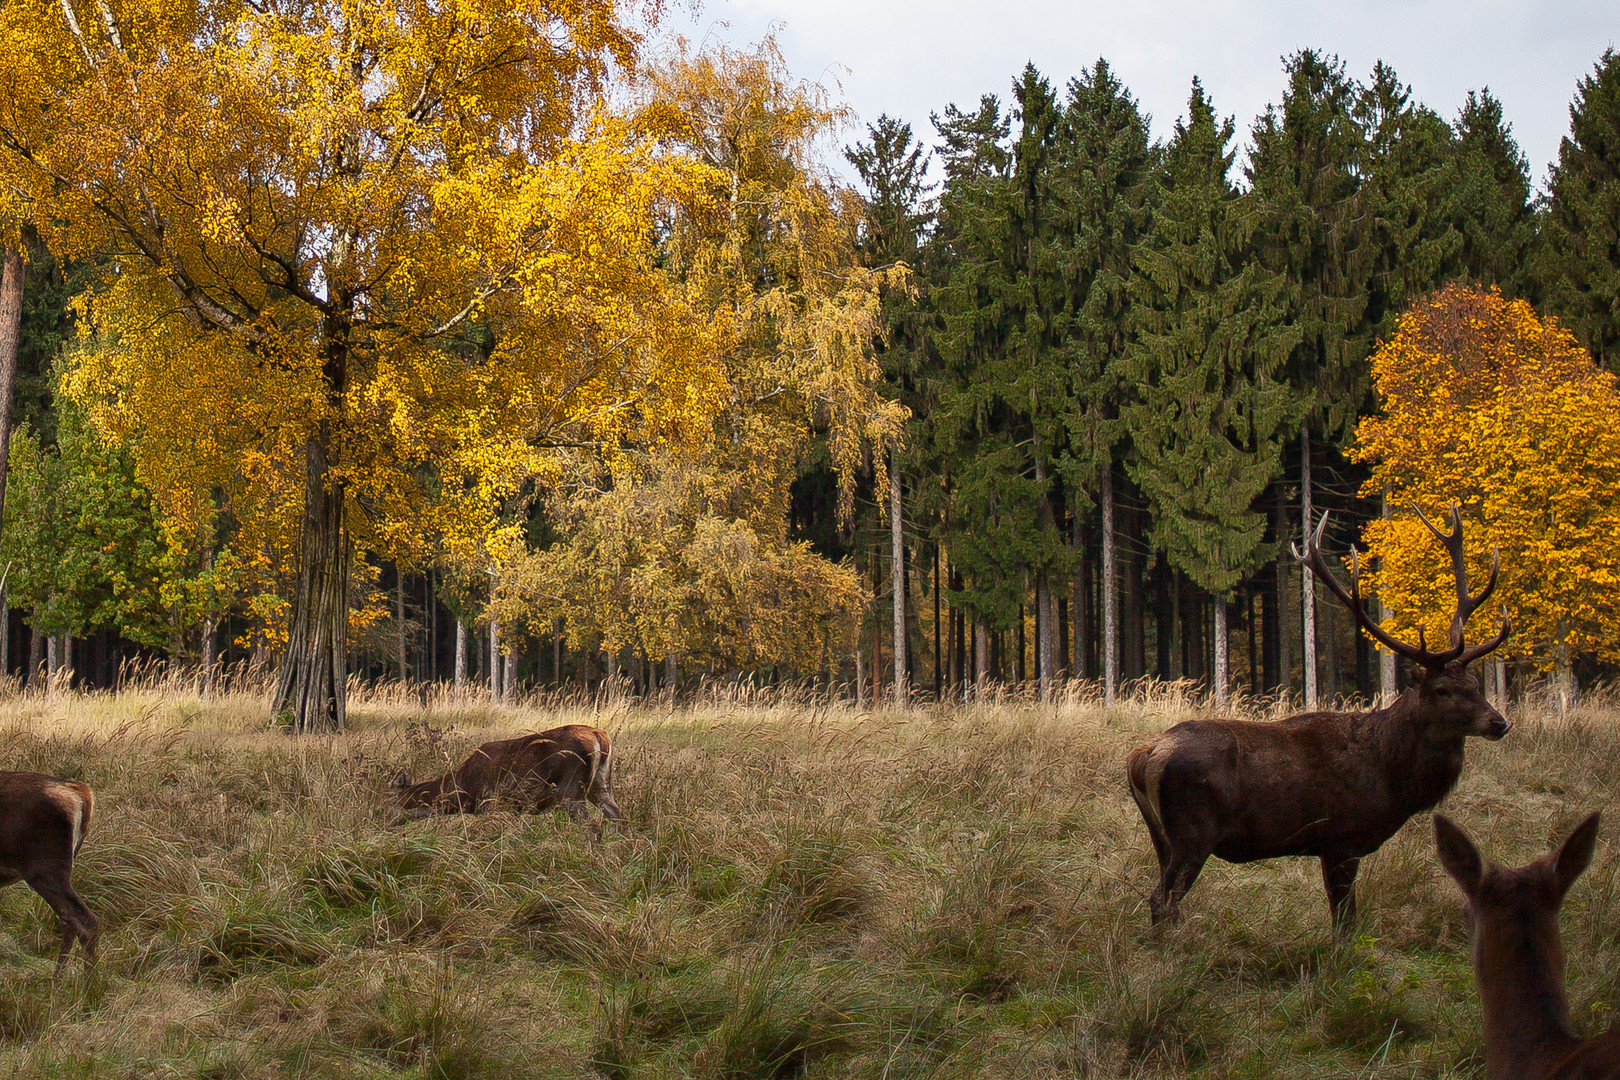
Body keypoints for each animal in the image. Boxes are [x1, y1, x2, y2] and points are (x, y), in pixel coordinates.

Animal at [388, 731, 622, 835]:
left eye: (387, 801)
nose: (383, 822)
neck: (464, 790)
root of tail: (600, 737)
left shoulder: (489, 801)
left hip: (571, 789)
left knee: (593, 828)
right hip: (601, 785)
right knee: (620, 819)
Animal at [1134, 508, 1509, 939]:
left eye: (1476, 685)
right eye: (1444, 689)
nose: (1500, 722)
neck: (1390, 776)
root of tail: (1145, 756)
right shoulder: (1341, 839)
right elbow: (1344, 922)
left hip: (1161, 837)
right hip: (1193, 832)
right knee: (1161, 899)